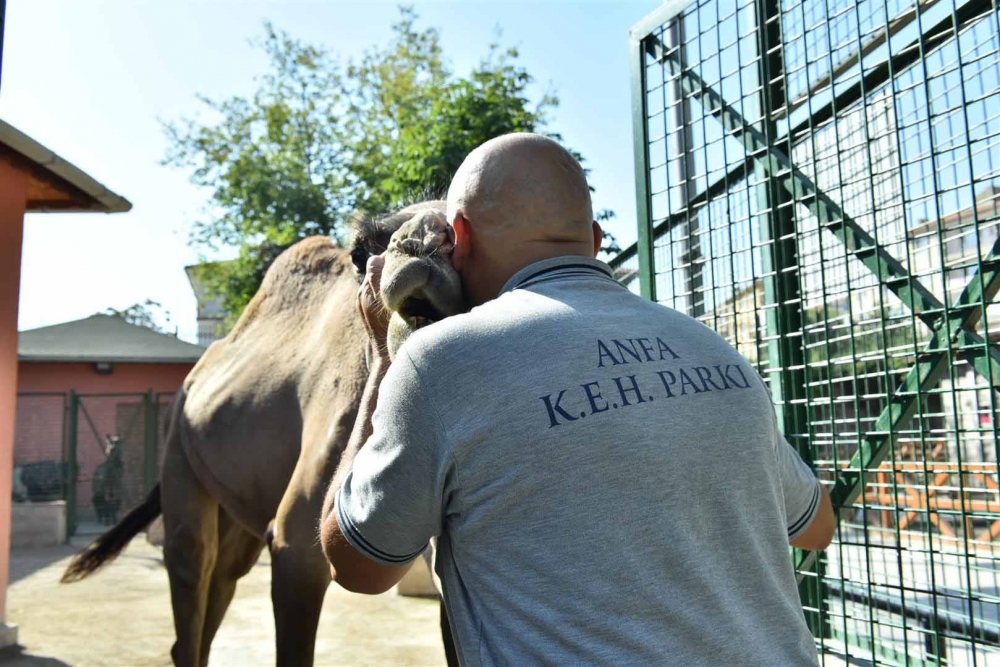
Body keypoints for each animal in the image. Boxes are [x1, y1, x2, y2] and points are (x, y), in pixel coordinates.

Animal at [62, 201, 464, 664]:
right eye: (360, 252)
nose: (428, 239)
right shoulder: (296, 545)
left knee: (222, 579)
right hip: (178, 449)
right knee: (192, 564)